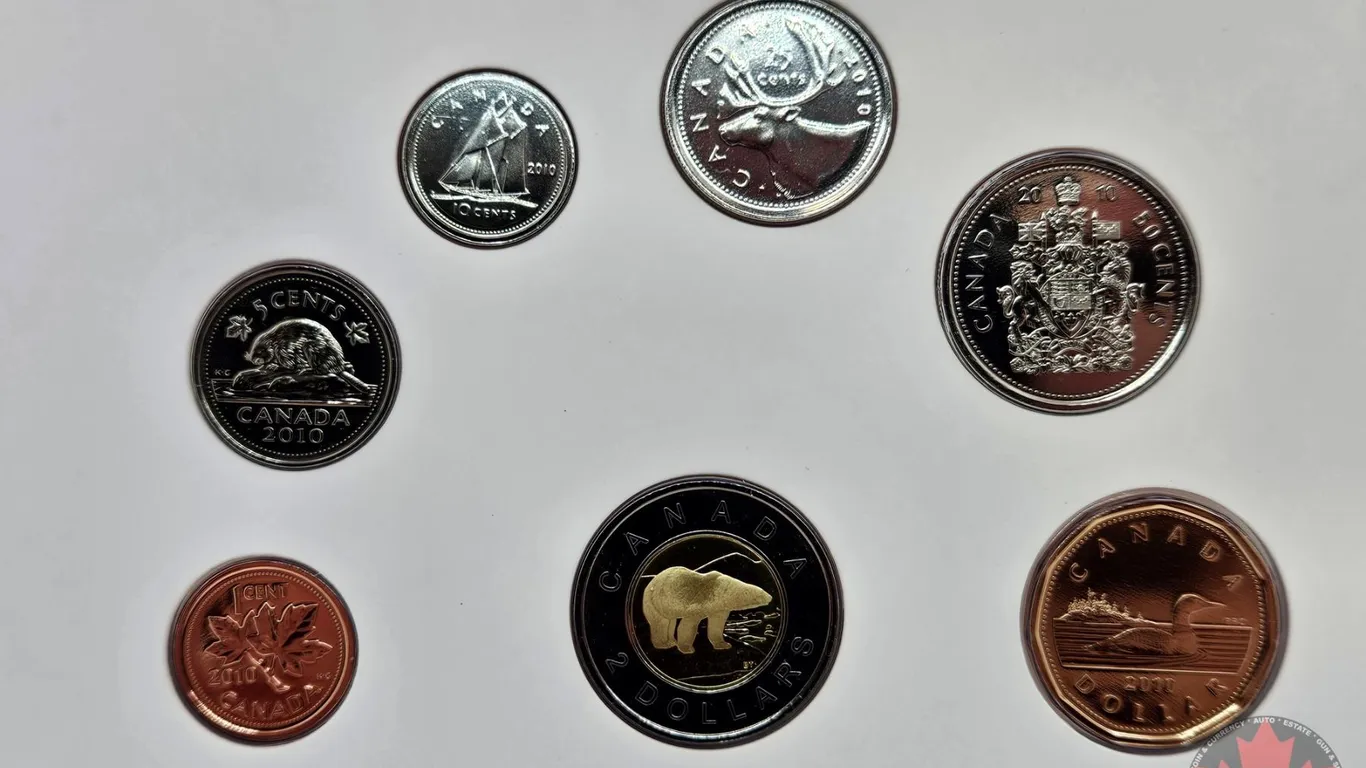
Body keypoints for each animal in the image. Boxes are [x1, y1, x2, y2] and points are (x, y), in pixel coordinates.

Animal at [231, 318, 369, 394]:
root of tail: (339, 367)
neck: (274, 340)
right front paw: (268, 366)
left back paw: (307, 370)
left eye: (260, 351)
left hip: (312, 348)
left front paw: (273, 367)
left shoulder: (285, 349)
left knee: (319, 369)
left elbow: (289, 364)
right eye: (253, 351)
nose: (254, 360)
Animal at [640, 566, 773, 654]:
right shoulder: (699, 603)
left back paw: (672, 641)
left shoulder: (719, 608)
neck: (719, 590)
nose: (770, 597)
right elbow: (688, 625)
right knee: (660, 623)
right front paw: (687, 648)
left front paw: (723, 644)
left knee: (670, 621)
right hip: (653, 602)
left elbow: (716, 625)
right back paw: (664, 644)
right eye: (761, 593)